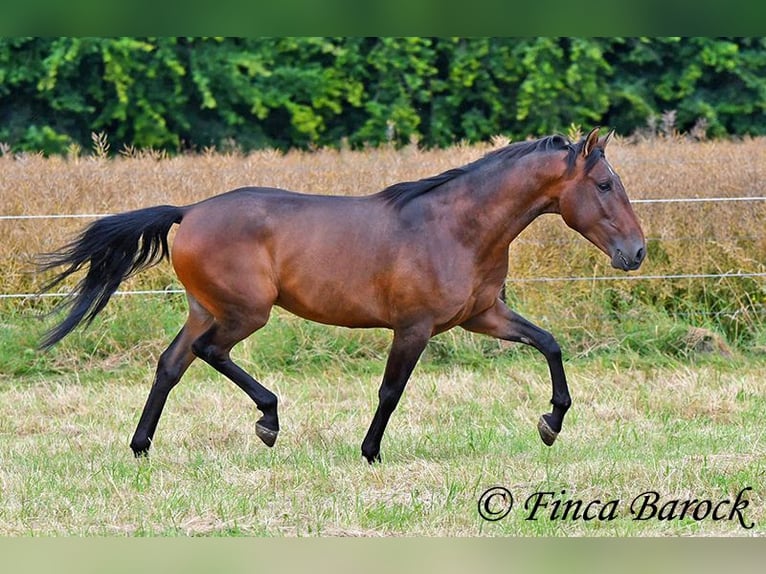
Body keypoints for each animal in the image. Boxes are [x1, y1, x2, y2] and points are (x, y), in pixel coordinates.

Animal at [39, 128, 644, 466]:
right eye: (605, 185)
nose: (635, 253)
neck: (458, 227)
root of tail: (187, 212)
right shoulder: (414, 327)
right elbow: (391, 391)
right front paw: (370, 452)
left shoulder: (483, 315)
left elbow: (550, 343)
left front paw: (551, 423)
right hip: (244, 312)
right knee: (212, 353)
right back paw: (268, 421)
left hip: (205, 308)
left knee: (171, 364)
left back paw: (141, 446)